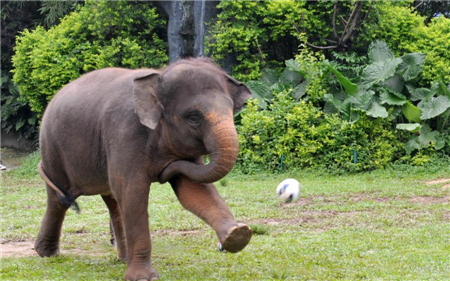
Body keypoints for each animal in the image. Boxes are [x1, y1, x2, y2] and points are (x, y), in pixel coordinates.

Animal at [34, 58, 253, 278]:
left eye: (232, 110)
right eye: (193, 117)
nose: (164, 169)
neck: (158, 77)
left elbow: (194, 191)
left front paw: (238, 234)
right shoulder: (124, 132)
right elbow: (134, 192)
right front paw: (144, 278)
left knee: (112, 199)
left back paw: (122, 258)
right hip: (51, 148)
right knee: (60, 198)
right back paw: (46, 254)